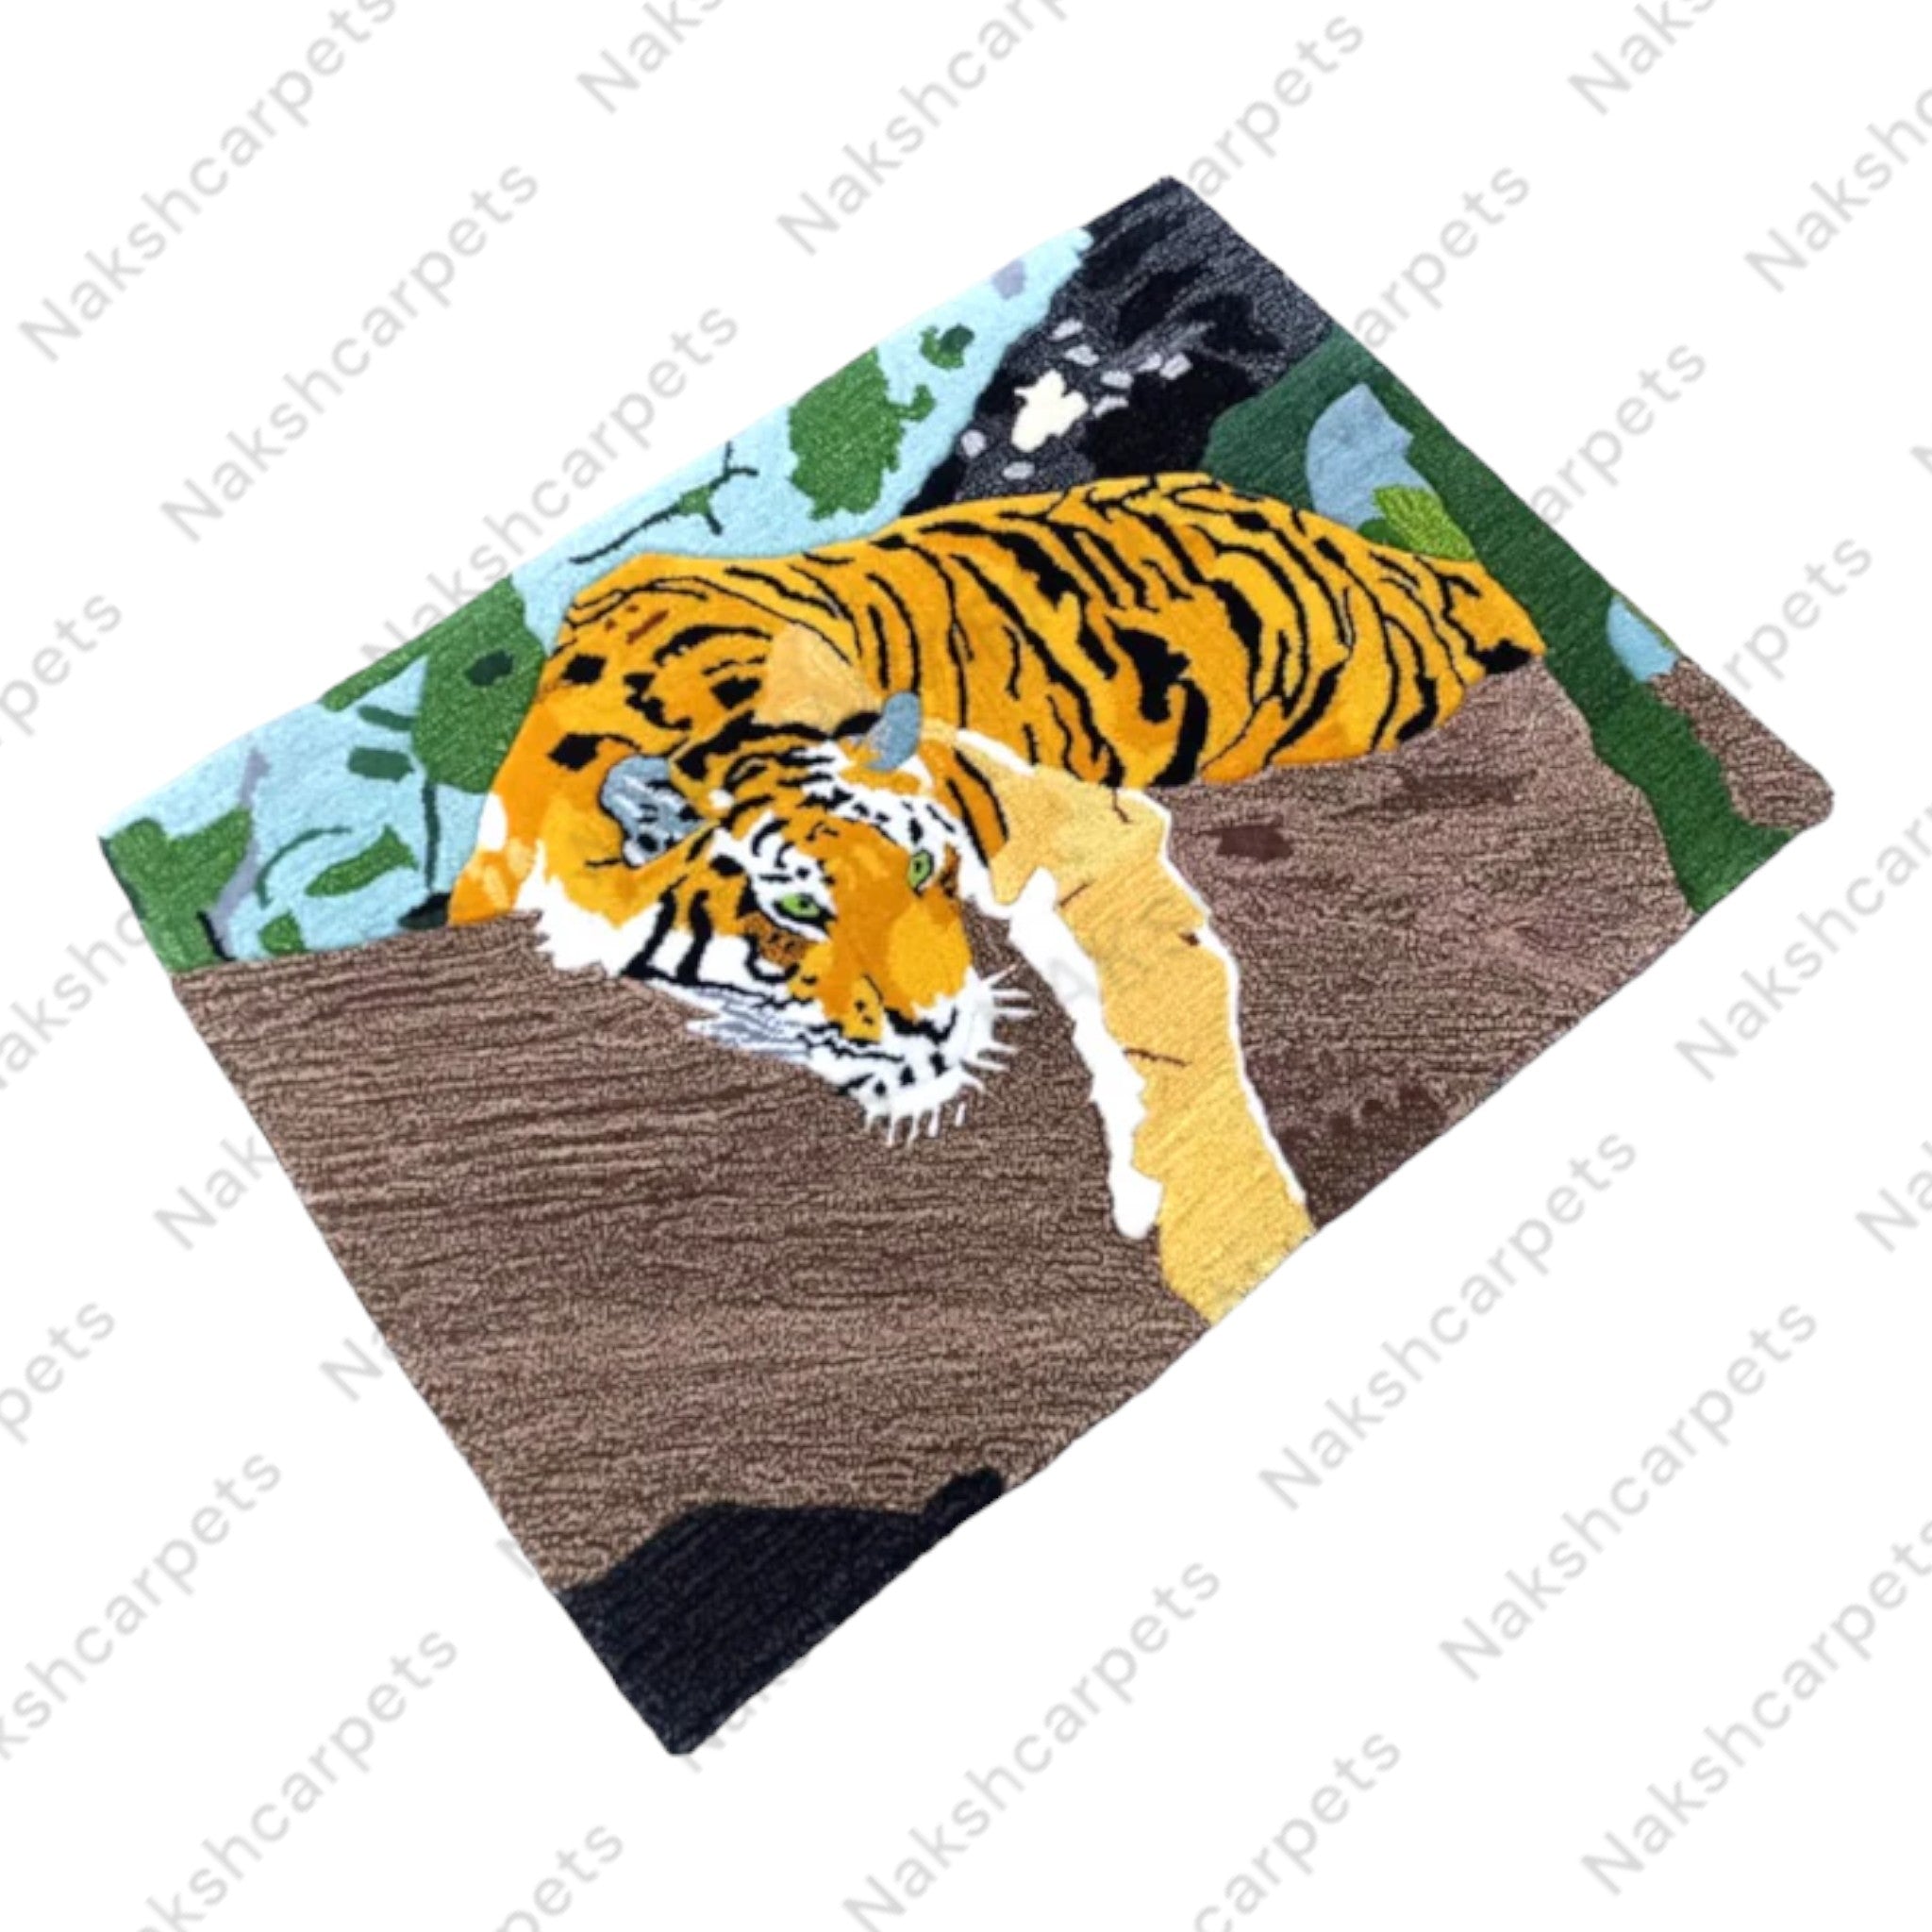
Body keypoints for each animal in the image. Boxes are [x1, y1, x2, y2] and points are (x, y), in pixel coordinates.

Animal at [452, 472, 1547, 1318]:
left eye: (922, 873)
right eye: (797, 909)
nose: (941, 1023)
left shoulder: (1064, 827)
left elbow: (1165, 1021)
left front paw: (1236, 1249)